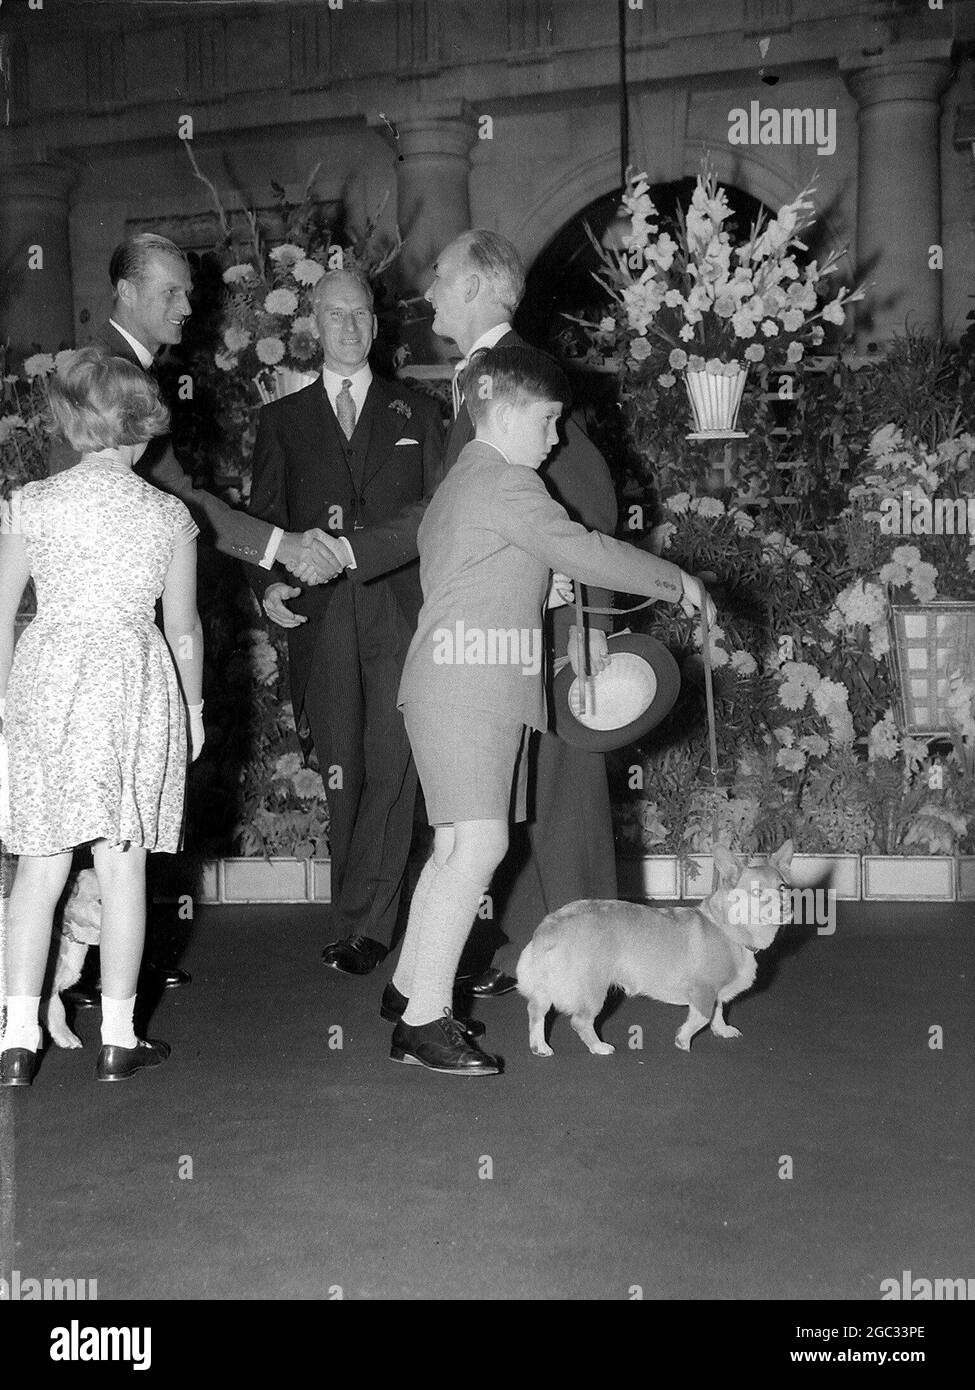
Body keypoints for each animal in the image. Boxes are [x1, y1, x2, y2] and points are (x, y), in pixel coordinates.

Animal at [517, 839, 790, 1056]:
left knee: (536, 1011)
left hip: (546, 988)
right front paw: (683, 1041)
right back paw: (599, 1047)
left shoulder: (716, 992)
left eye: (783, 888)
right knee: (580, 1021)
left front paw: (722, 1030)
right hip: (593, 991)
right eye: (757, 892)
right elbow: (702, 1017)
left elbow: (719, 1011)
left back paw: (540, 1047)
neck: (728, 928)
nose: (785, 908)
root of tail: (550, 925)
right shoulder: (703, 990)